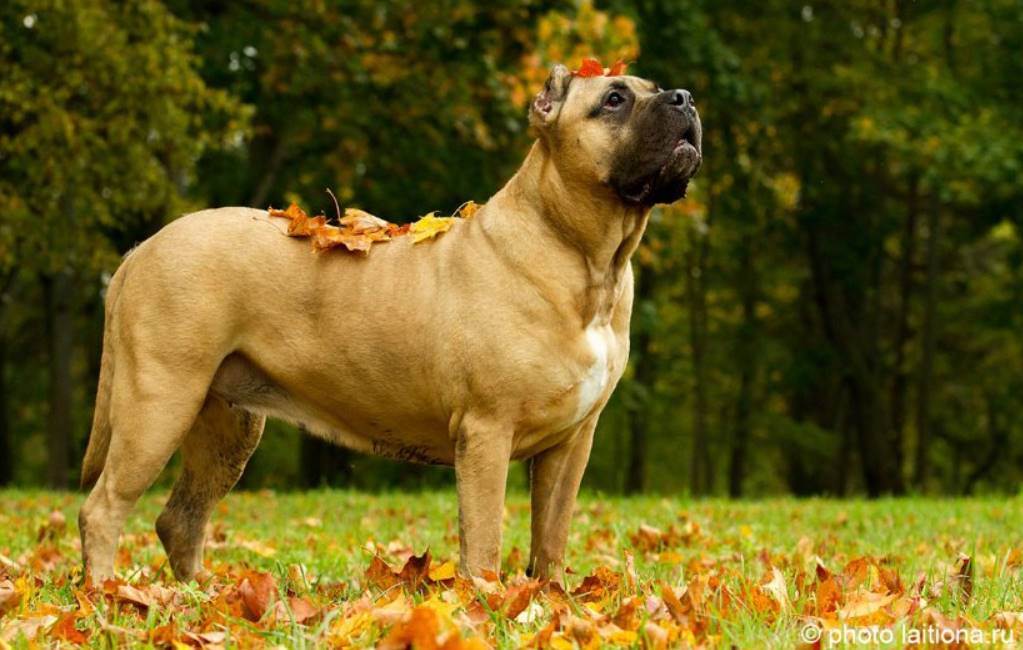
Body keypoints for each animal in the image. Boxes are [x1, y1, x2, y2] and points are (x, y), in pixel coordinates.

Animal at [79, 64, 703, 585]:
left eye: (655, 87)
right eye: (615, 99)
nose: (686, 97)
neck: (587, 257)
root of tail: (142, 249)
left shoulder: (572, 443)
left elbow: (550, 536)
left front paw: (549, 602)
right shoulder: (487, 431)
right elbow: (484, 537)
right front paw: (488, 601)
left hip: (226, 425)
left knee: (180, 517)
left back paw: (198, 597)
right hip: (159, 402)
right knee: (104, 507)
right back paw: (108, 595)